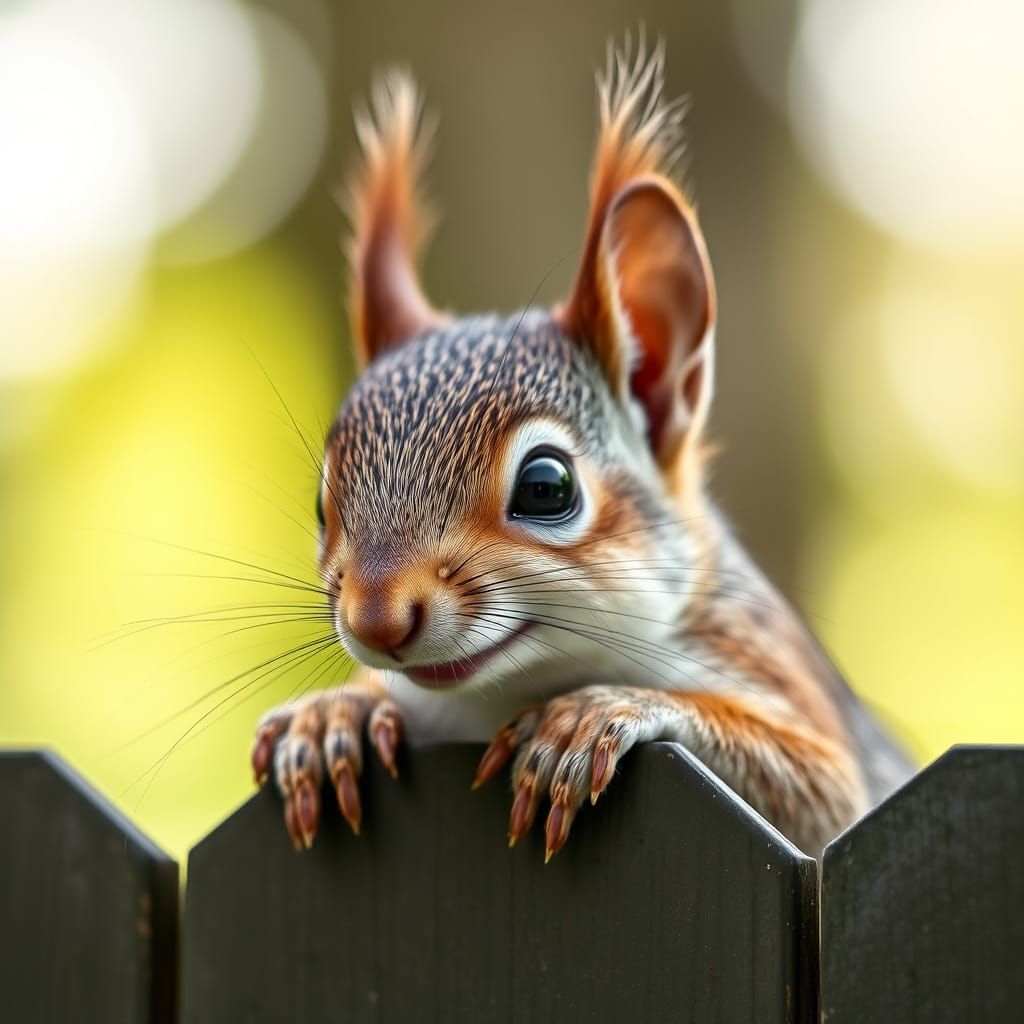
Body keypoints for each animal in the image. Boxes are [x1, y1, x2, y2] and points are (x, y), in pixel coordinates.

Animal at [250, 38, 913, 860]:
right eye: (321, 503)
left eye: (546, 487)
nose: (375, 619)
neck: (498, 697)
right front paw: (329, 716)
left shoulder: (799, 710)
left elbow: (820, 794)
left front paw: (601, 711)